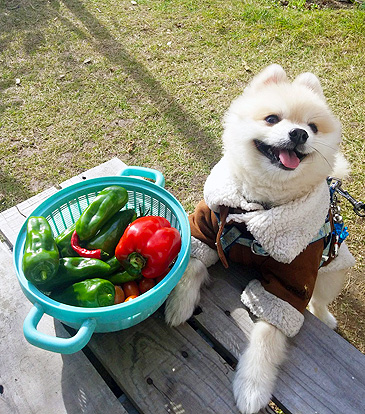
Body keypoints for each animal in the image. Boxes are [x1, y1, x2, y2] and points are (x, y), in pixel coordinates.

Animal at [164, 64, 354, 410]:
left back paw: (326, 318)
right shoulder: (207, 225)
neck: (256, 209)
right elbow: (193, 262)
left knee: (320, 300)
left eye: (313, 127)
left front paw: (252, 387)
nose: (299, 134)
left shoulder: (292, 279)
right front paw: (179, 305)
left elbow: (268, 335)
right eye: (272, 119)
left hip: (332, 272)